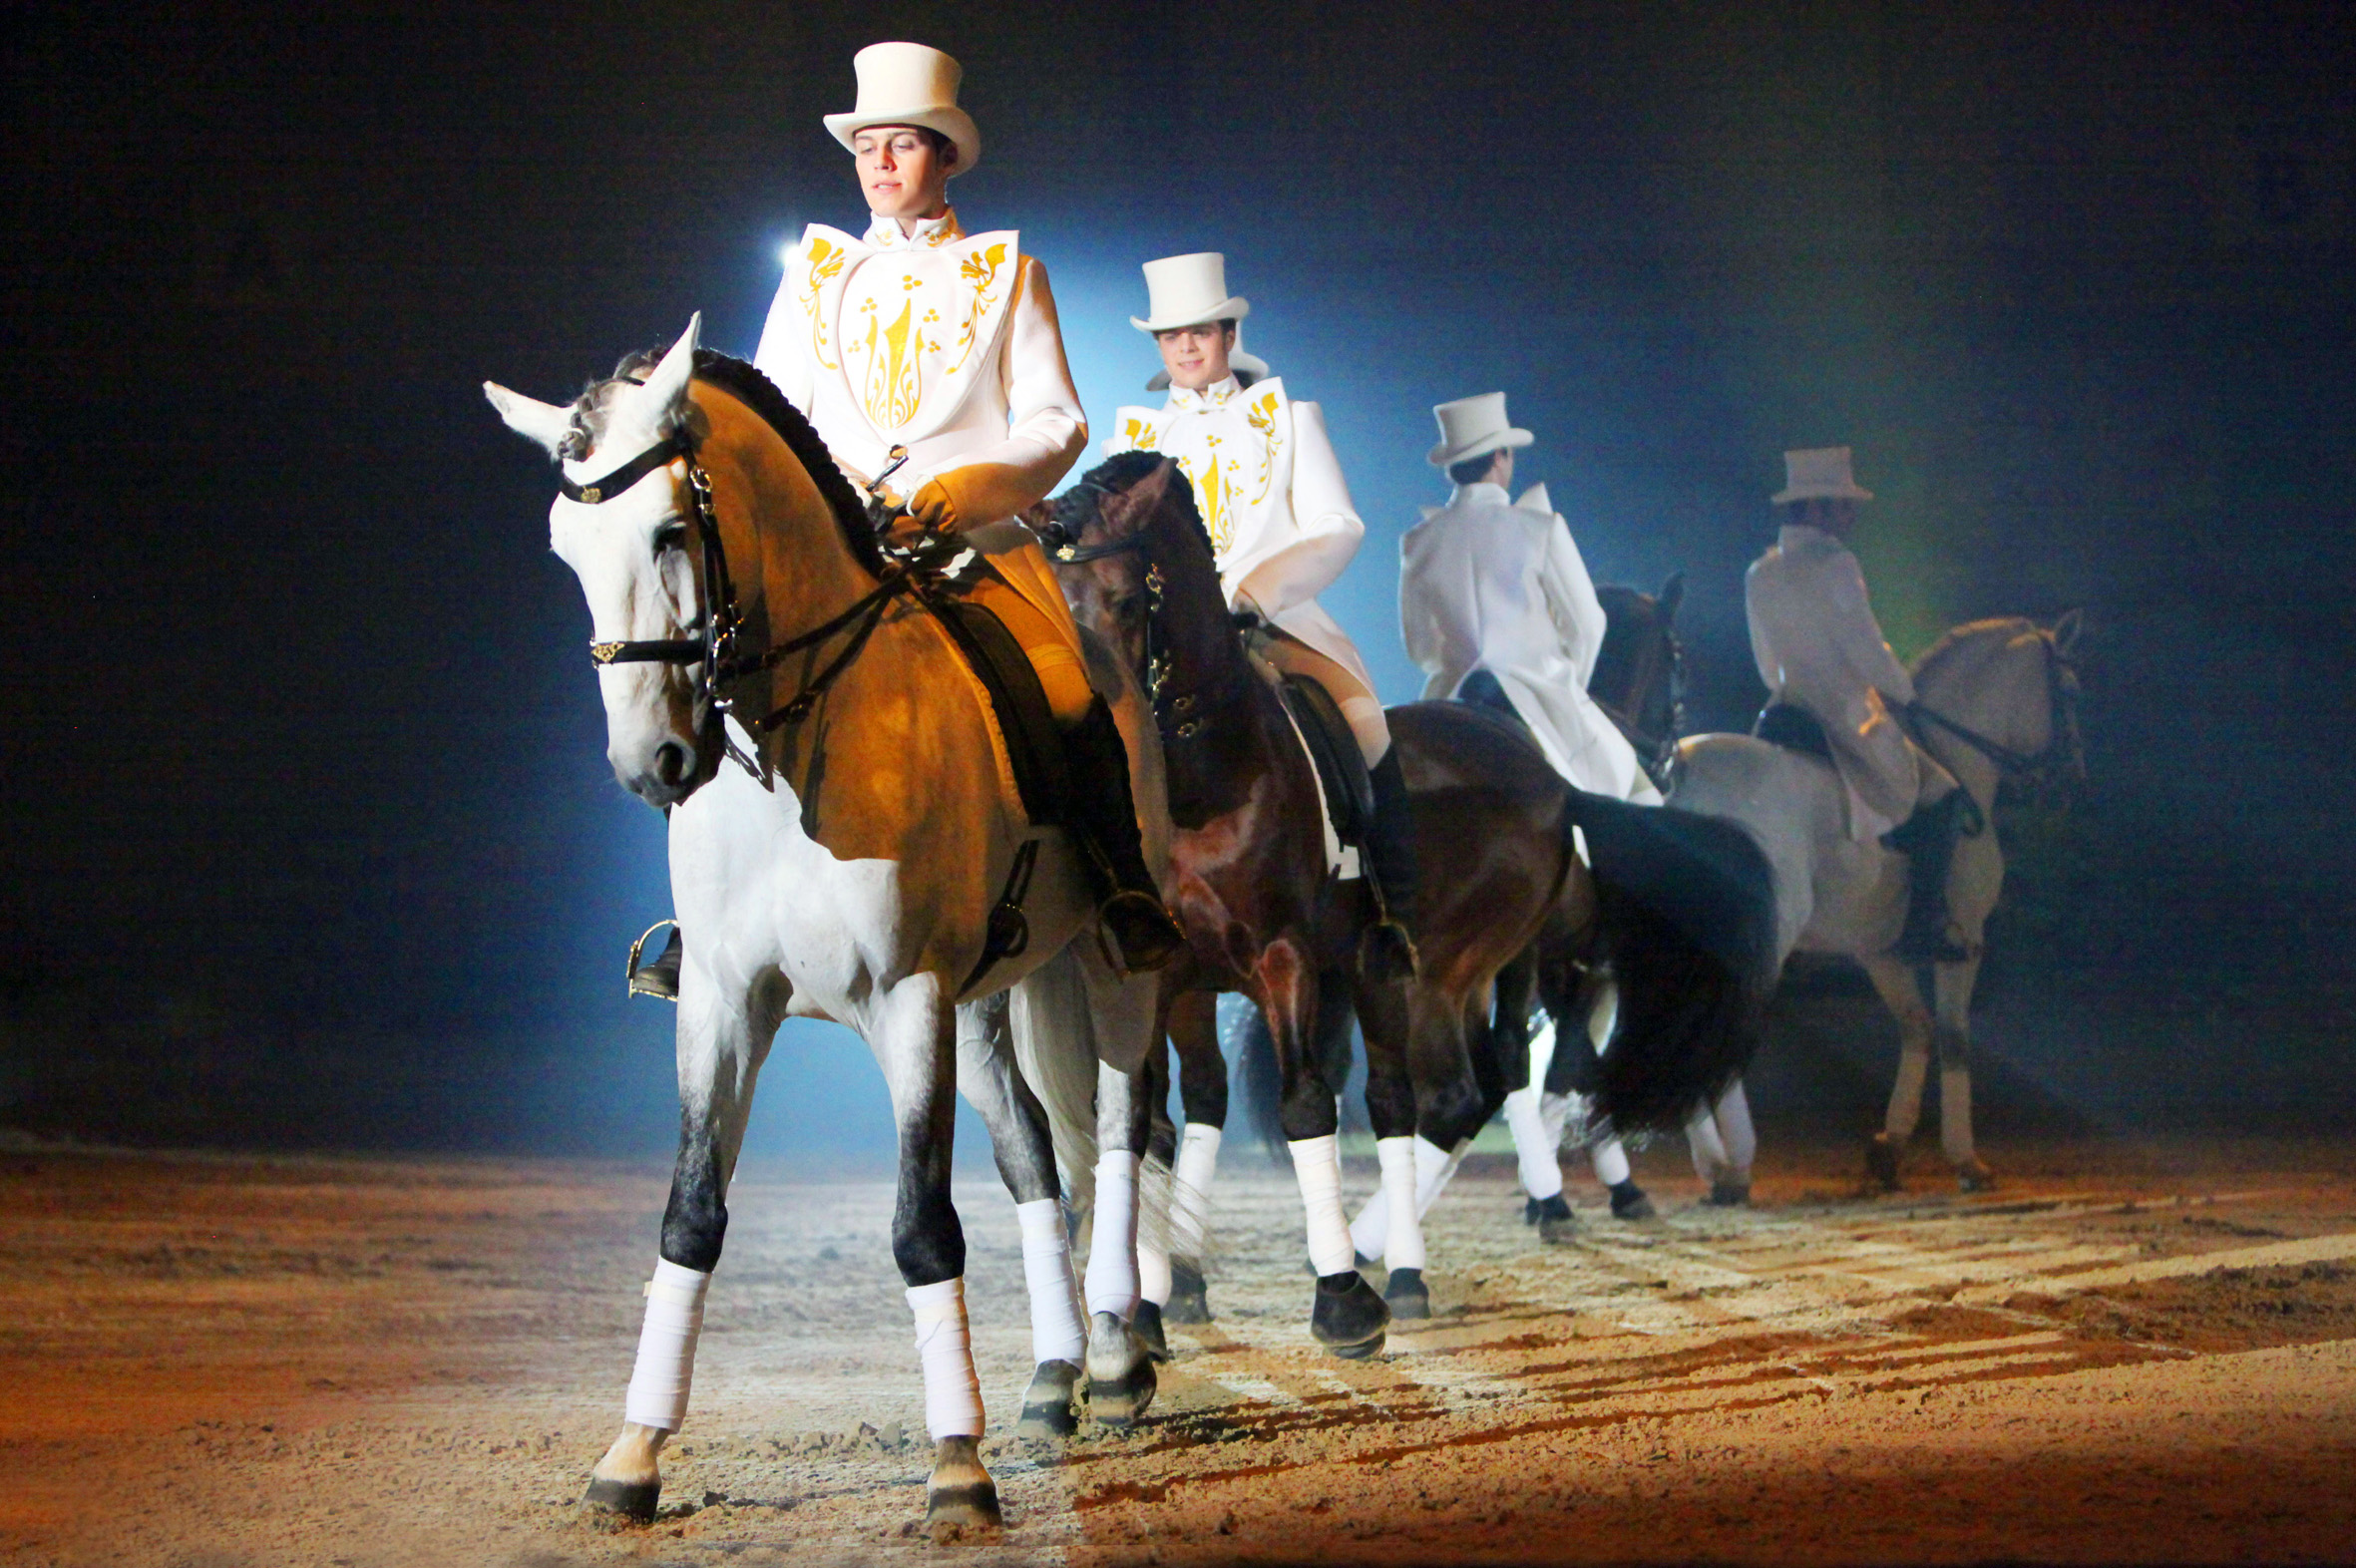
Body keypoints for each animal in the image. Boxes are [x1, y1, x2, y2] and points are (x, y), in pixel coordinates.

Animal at [485, 319, 1163, 1533]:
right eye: (566, 549)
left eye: (670, 530)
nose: (651, 764)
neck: (793, 748)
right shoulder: (720, 1003)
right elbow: (689, 1216)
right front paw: (633, 1454)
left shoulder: (908, 1000)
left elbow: (921, 1227)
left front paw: (957, 1468)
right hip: (984, 1003)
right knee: (1034, 1153)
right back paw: (1055, 1378)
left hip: (1109, 969)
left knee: (1127, 1133)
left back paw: (1122, 1361)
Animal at [1053, 456, 1780, 1309]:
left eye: (1128, 601)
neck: (1201, 776)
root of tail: (1551, 780)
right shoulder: (1177, 975)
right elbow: (1174, 1114)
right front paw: (1161, 1291)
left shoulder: (1292, 958)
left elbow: (1322, 1096)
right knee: (1458, 1089)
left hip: (1449, 965)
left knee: (1455, 1092)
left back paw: (1388, 1253)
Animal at [1669, 613, 2086, 1192]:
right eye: (2069, 691)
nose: (2073, 779)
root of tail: (1683, 772)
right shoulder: (1967, 937)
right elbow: (1954, 1036)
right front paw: (1966, 1160)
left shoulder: (1880, 950)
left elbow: (1917, 1028)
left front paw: (1890, 1147)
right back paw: (1735, 1166)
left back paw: (1710, 1162)